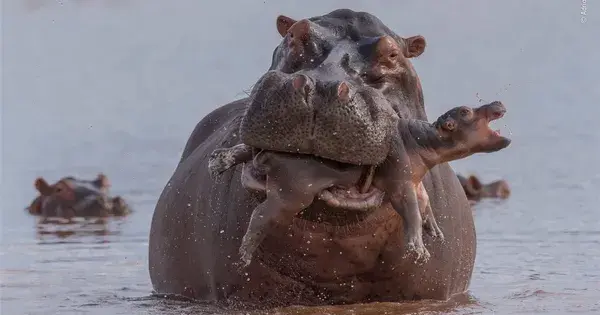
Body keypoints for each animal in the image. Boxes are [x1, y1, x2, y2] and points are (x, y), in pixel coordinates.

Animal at [209, 101, 508, 270]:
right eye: (466, 111)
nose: (497, 101)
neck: (424, 138)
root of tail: (270, 155)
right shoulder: (401, 183)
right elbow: (410, 211)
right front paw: (419, 250)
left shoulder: (415, 180)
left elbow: (424, 203)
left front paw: (435, 231)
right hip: (290, 195)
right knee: (260, 215)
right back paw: (244, 256)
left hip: (266, 155)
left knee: (243, 149)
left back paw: (218, 162)